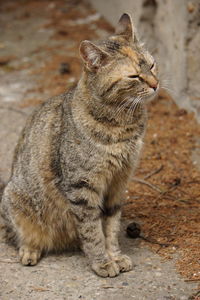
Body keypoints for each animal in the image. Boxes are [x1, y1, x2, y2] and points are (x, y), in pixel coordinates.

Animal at [0, 13, 159, 276]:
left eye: (152, 65)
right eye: (134, 76)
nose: (156, 84)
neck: (121, 123)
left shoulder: (118, 182)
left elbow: (110, 228)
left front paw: (115, 256)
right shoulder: (82, 187)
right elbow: (92, 231)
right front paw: (102, 262)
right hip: (17, 202)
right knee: (14, 233)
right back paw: (30, 249)